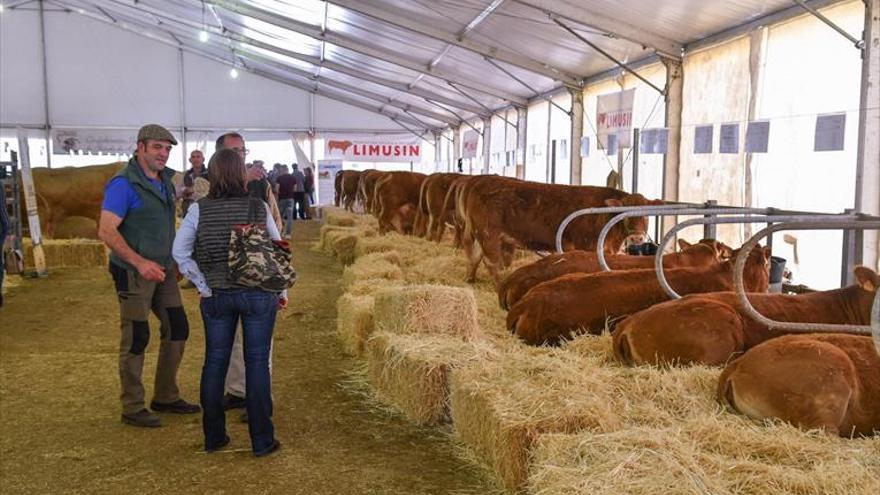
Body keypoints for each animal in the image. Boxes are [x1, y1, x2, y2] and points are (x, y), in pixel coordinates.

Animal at [460, 178, 660, 286]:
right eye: (625, 213)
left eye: (646, 215)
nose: (636, 237)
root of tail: (480, 180)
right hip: (489, 234)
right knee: (490, 262)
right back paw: (499, 285)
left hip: (481, 235)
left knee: (475, 257)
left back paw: (470, 279)